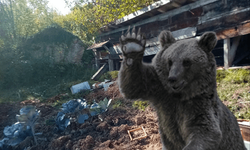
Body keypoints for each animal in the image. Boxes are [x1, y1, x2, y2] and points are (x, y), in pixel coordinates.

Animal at [117, 27, 246, 150]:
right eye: (169, 61)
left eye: (187, 62)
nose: (172, 78)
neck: (180, 95)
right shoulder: (160, 91)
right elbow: (134, 85)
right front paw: (132, 45)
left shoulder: (200, 105)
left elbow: (206, 131)